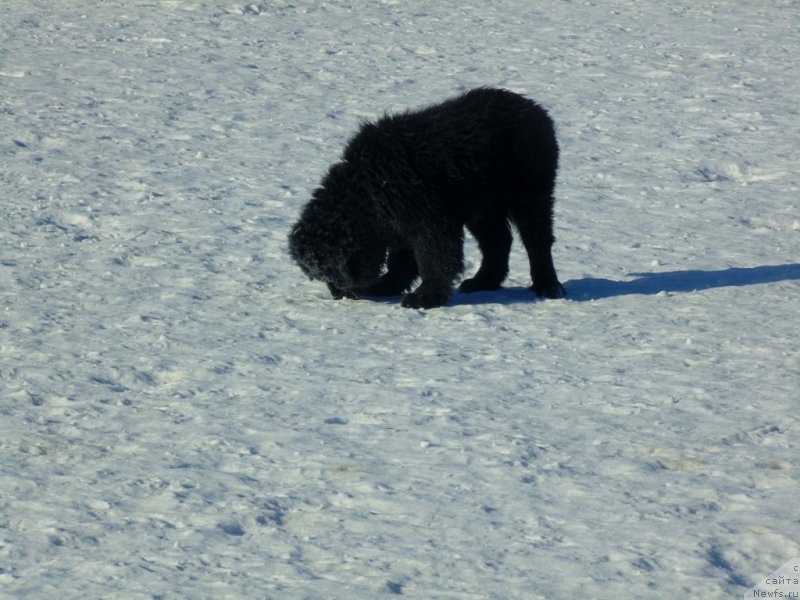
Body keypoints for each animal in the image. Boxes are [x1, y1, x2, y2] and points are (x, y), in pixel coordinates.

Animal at [288, 89, 564, 310]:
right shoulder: (401, 225)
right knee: (497, 242)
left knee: (537, 241)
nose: (339, 296)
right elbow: (402, 262)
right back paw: (483, 281)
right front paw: (387, 285)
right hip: (483, 206)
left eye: (329, 272)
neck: (365, 193)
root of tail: (535, 109)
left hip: (531, 194)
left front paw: (424, 297)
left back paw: (548, 285)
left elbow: (435, 259)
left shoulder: (429, 222)